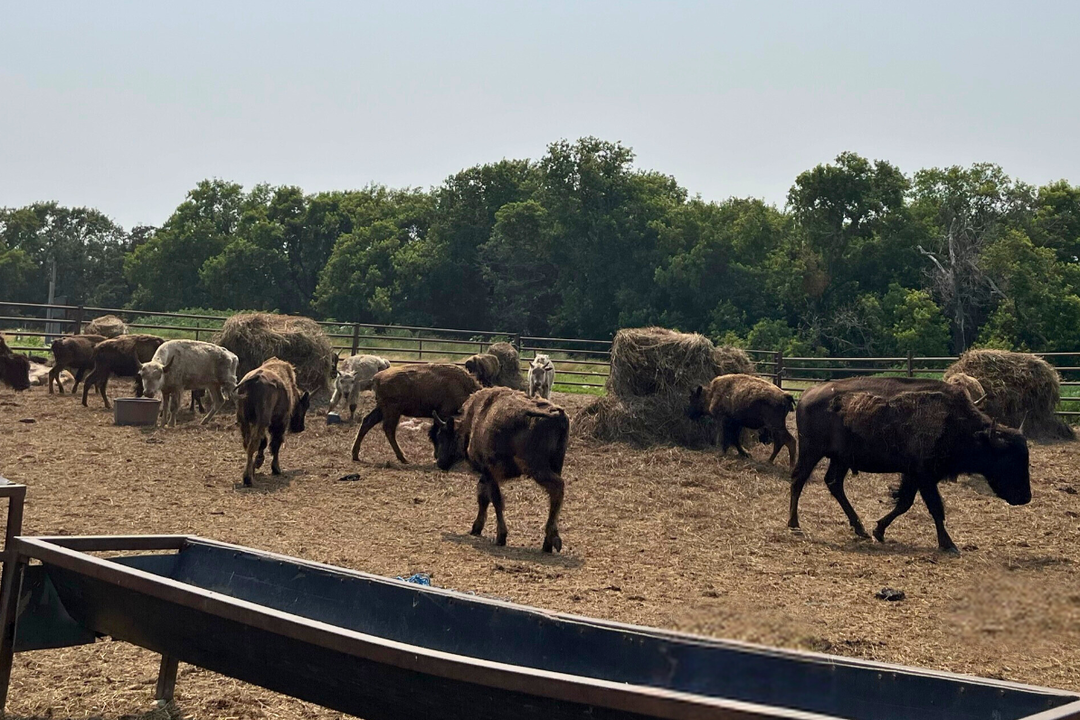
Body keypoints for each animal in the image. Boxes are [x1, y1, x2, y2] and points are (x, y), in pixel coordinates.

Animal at [233, 358, 308, 487]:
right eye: (304, 407)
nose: (301, 428)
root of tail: (255, 378)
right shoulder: (280, 422)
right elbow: (275, 444)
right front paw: (276, 468)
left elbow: (264, 443)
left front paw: (257, 464)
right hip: (262, 421)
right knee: (254, 444)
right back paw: (248, 478)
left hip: (244, 421)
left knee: (248, 445)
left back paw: (250, 473)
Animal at [429, 388, 570, 552]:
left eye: (442, 436)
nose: (439, 461)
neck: (472, 424)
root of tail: (557, 415)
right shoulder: (485, 475)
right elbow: (483, 498)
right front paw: (476, 528)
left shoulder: (490, 473)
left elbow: (495, 500)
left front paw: (501, 536)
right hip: (556, 465)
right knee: (555, 496)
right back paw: (548, 542)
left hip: (537, 469)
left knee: (557, 487)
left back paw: (551, 541)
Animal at [790, 375, 1032, 557]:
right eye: (1009, 460)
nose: (1025, 497)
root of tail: (806, 395)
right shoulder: (924, 476)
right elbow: (935, 507)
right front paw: (949, 544)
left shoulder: (913, 475)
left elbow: (904, 503)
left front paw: (878, 530)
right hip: (811, 452)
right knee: (798, 479)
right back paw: (794, 525)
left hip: (840, 460)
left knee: (834, 484)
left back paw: (860, 529)